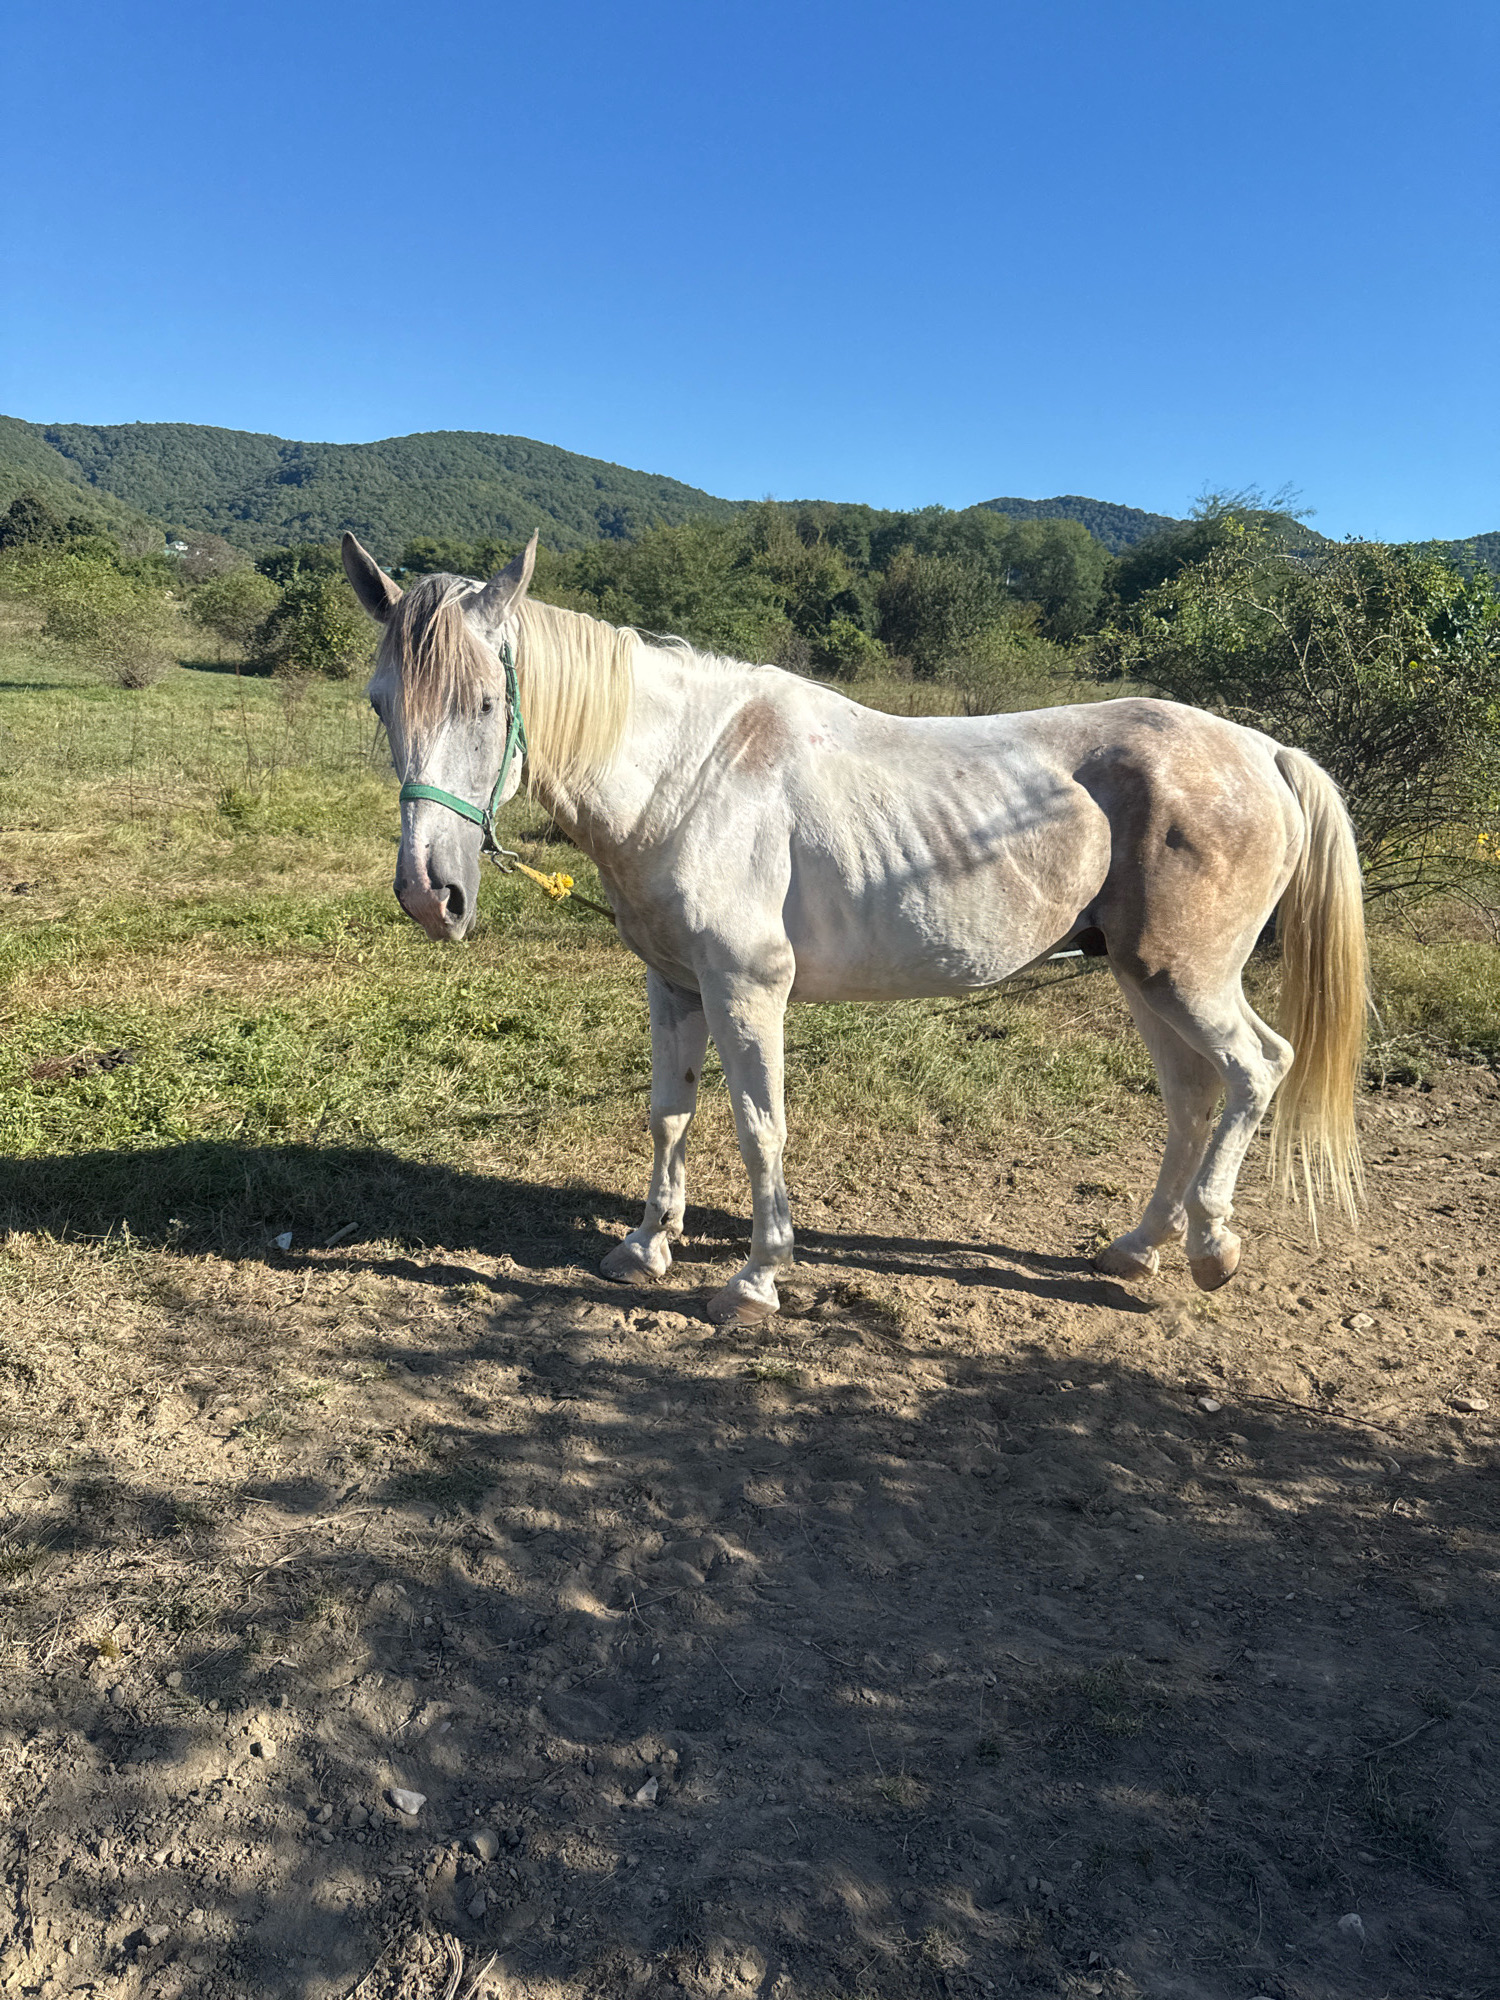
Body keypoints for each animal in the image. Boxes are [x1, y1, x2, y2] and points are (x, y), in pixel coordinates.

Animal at [344, 530, 1367, 1325]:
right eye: (381, 703)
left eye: (485, 703)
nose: (431, 893)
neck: (691, 775)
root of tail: (1262, 751)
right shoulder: (673, 984)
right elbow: (670, 1114)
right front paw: (645, 1248)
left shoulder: (746, 986)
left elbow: (759, 1126)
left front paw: (755, 1280)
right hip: (1140, 976)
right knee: (1192, 1097)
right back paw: (1138, 1245)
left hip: (1186, 977)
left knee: (1257, 1068)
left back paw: (1211, 1246)